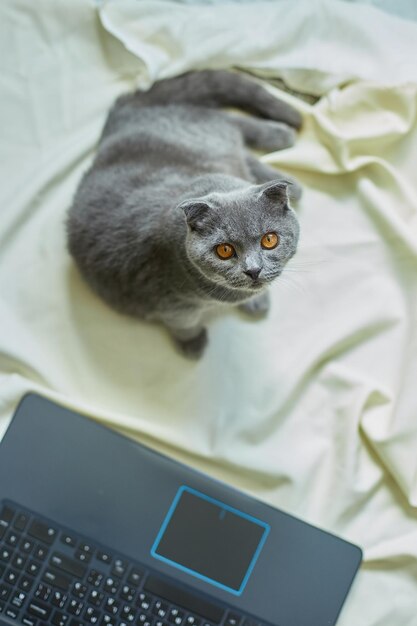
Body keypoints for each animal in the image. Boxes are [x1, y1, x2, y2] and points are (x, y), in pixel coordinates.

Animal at [68, 69, 302, 356]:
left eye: (269, 240)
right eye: (224, 251)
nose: (253, 270)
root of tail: (121, 115)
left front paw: (257, 300)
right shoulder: (170, 301)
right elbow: (183, 321)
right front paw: (192, 344)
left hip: (208, 135)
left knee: (231, 122)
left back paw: (282, 140)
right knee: (234, 133)